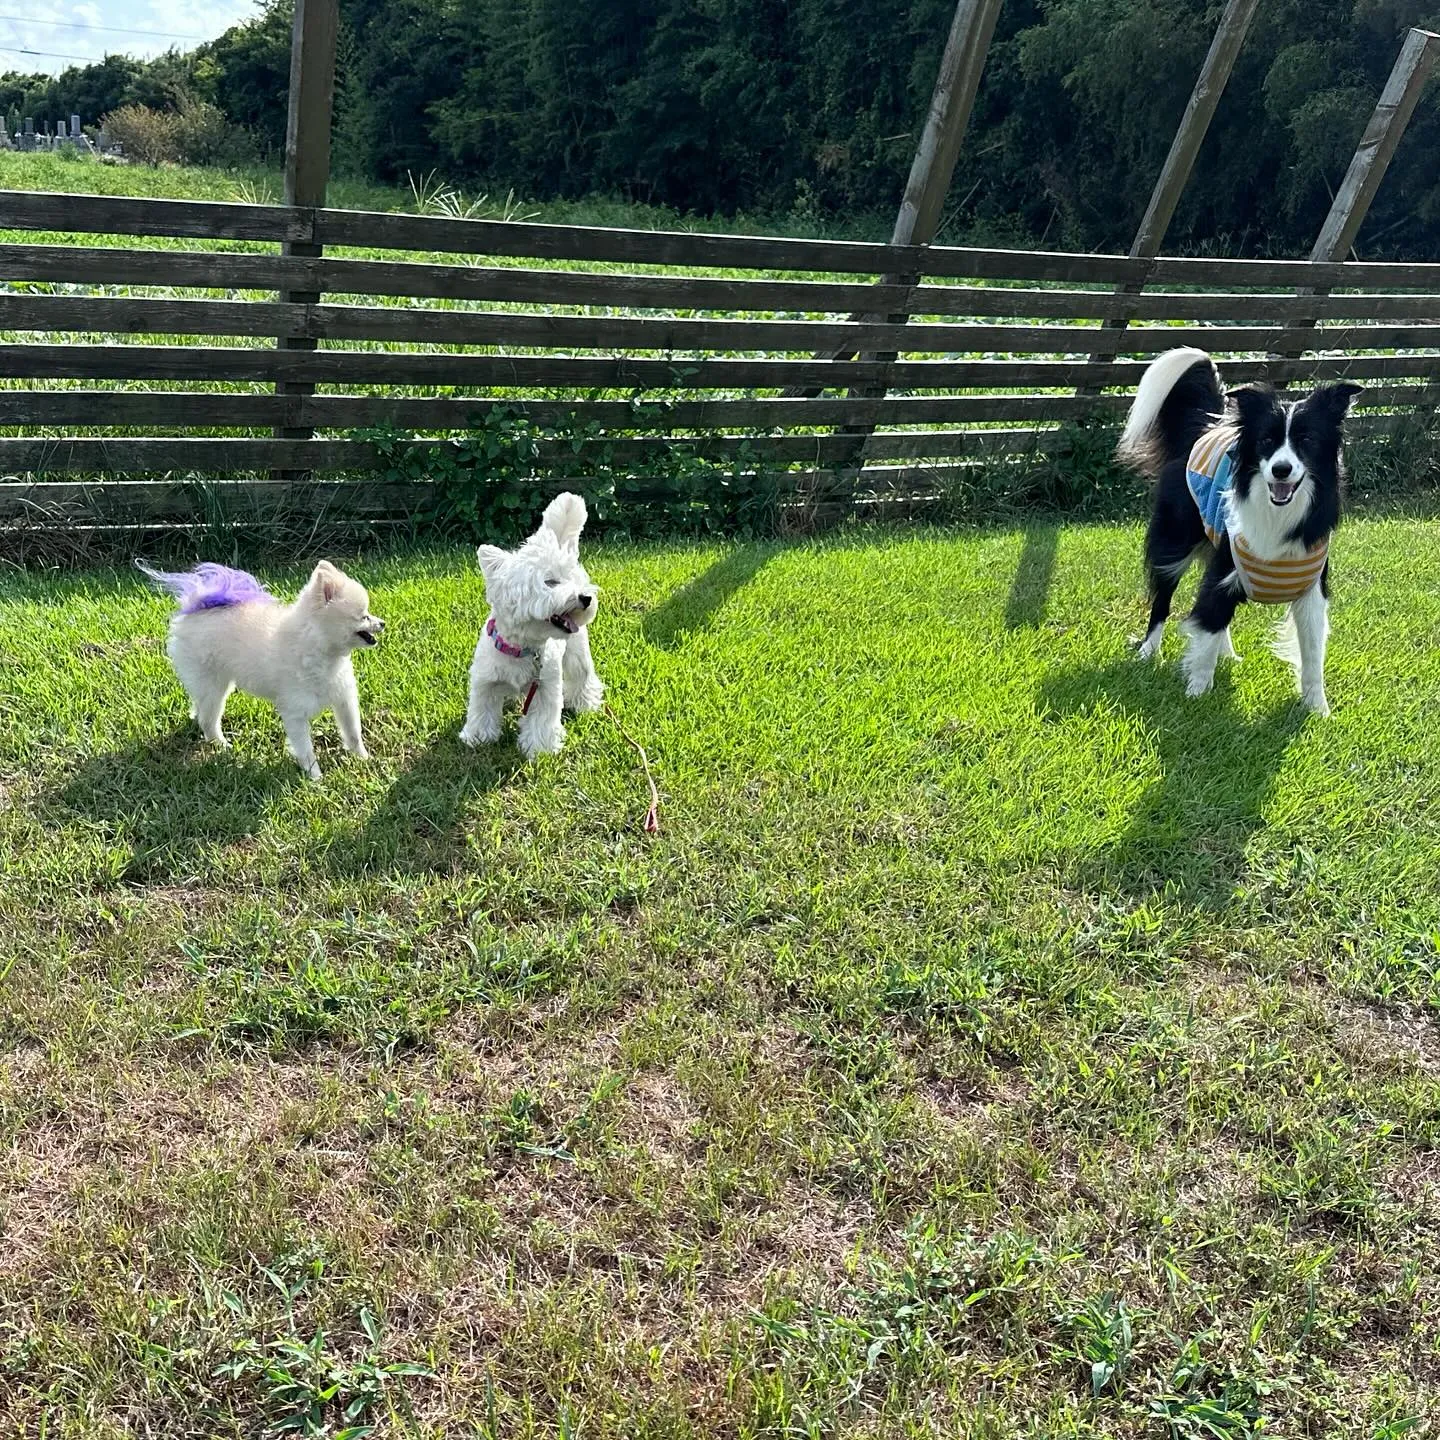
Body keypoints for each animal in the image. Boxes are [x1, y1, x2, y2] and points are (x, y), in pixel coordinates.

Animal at [133, 558, 383, 783]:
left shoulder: (343, 698)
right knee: (209, 720)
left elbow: (353, 733)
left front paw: (363, 758)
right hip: (214, 686)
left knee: (199, 706)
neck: (321, 651)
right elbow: (305, 748)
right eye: (363, 616)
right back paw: (222, 745)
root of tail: (196, 606)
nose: (382, 623)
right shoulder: (295, 712)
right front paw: (315, 776)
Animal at [455, 492, 601, 760]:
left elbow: (542, 719)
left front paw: (540, 749)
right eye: (550, 581)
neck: (521, 648)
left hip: (577, 654)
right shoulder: (485, 681)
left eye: (576, 579)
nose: (586, 597)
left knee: (582, 676)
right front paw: (478, 738)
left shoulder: (546, 687)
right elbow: (482, 710)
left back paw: (586, 703)